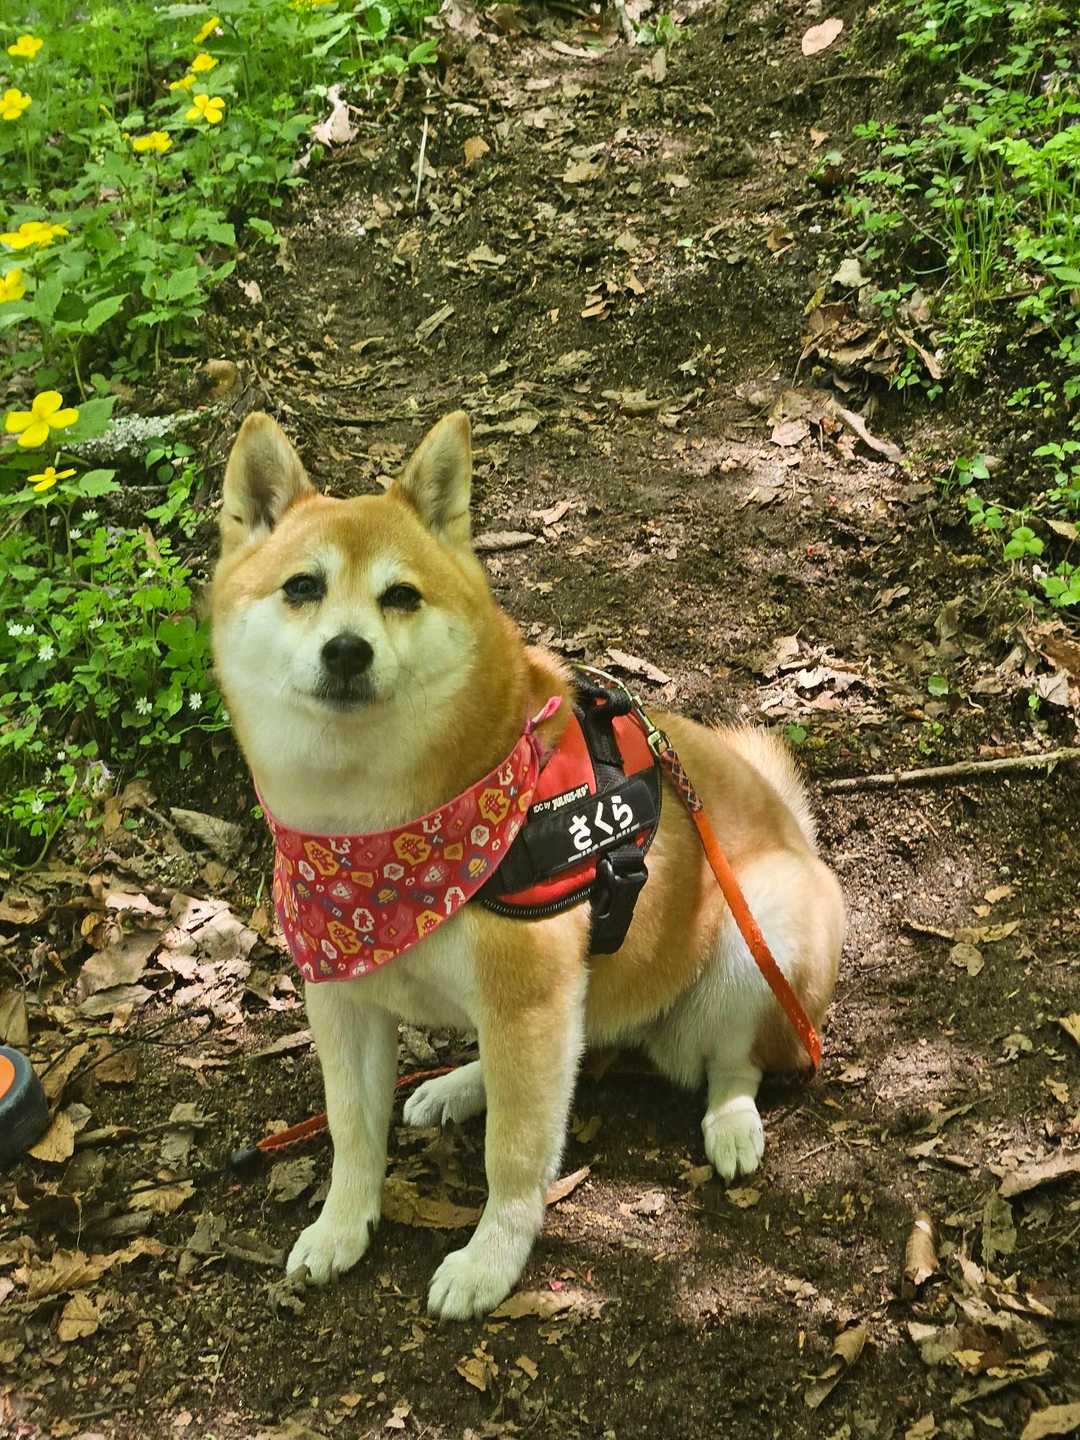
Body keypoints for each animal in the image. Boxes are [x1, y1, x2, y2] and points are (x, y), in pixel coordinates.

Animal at [210, 409, 844, 1319]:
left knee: (734, 1061)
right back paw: (457, 1083)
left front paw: (489, 1261)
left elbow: (513, 1157)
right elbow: (352, 1131)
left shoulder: (532, 996)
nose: (347, 650)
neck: (378, 840)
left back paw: (729, 1122)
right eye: (303, 587)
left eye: (400, 596)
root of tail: (797, 834)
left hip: (757, 930)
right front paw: (341, 1226)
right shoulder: (343, 995)